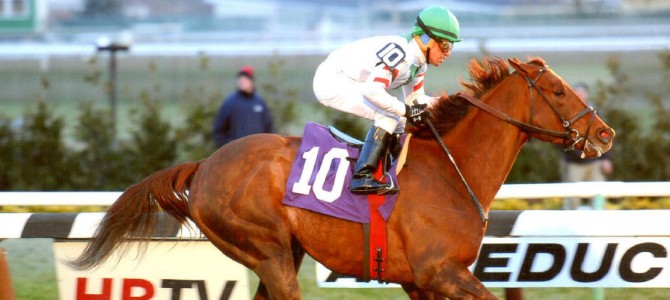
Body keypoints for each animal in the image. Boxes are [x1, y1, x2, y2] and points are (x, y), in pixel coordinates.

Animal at [72, 57, 616, 298]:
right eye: (557, 91)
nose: (605, 133)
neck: (452, 172)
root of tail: (204, 165)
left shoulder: (420, 281)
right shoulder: (440, 272)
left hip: (279, 254)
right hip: (267, 252)